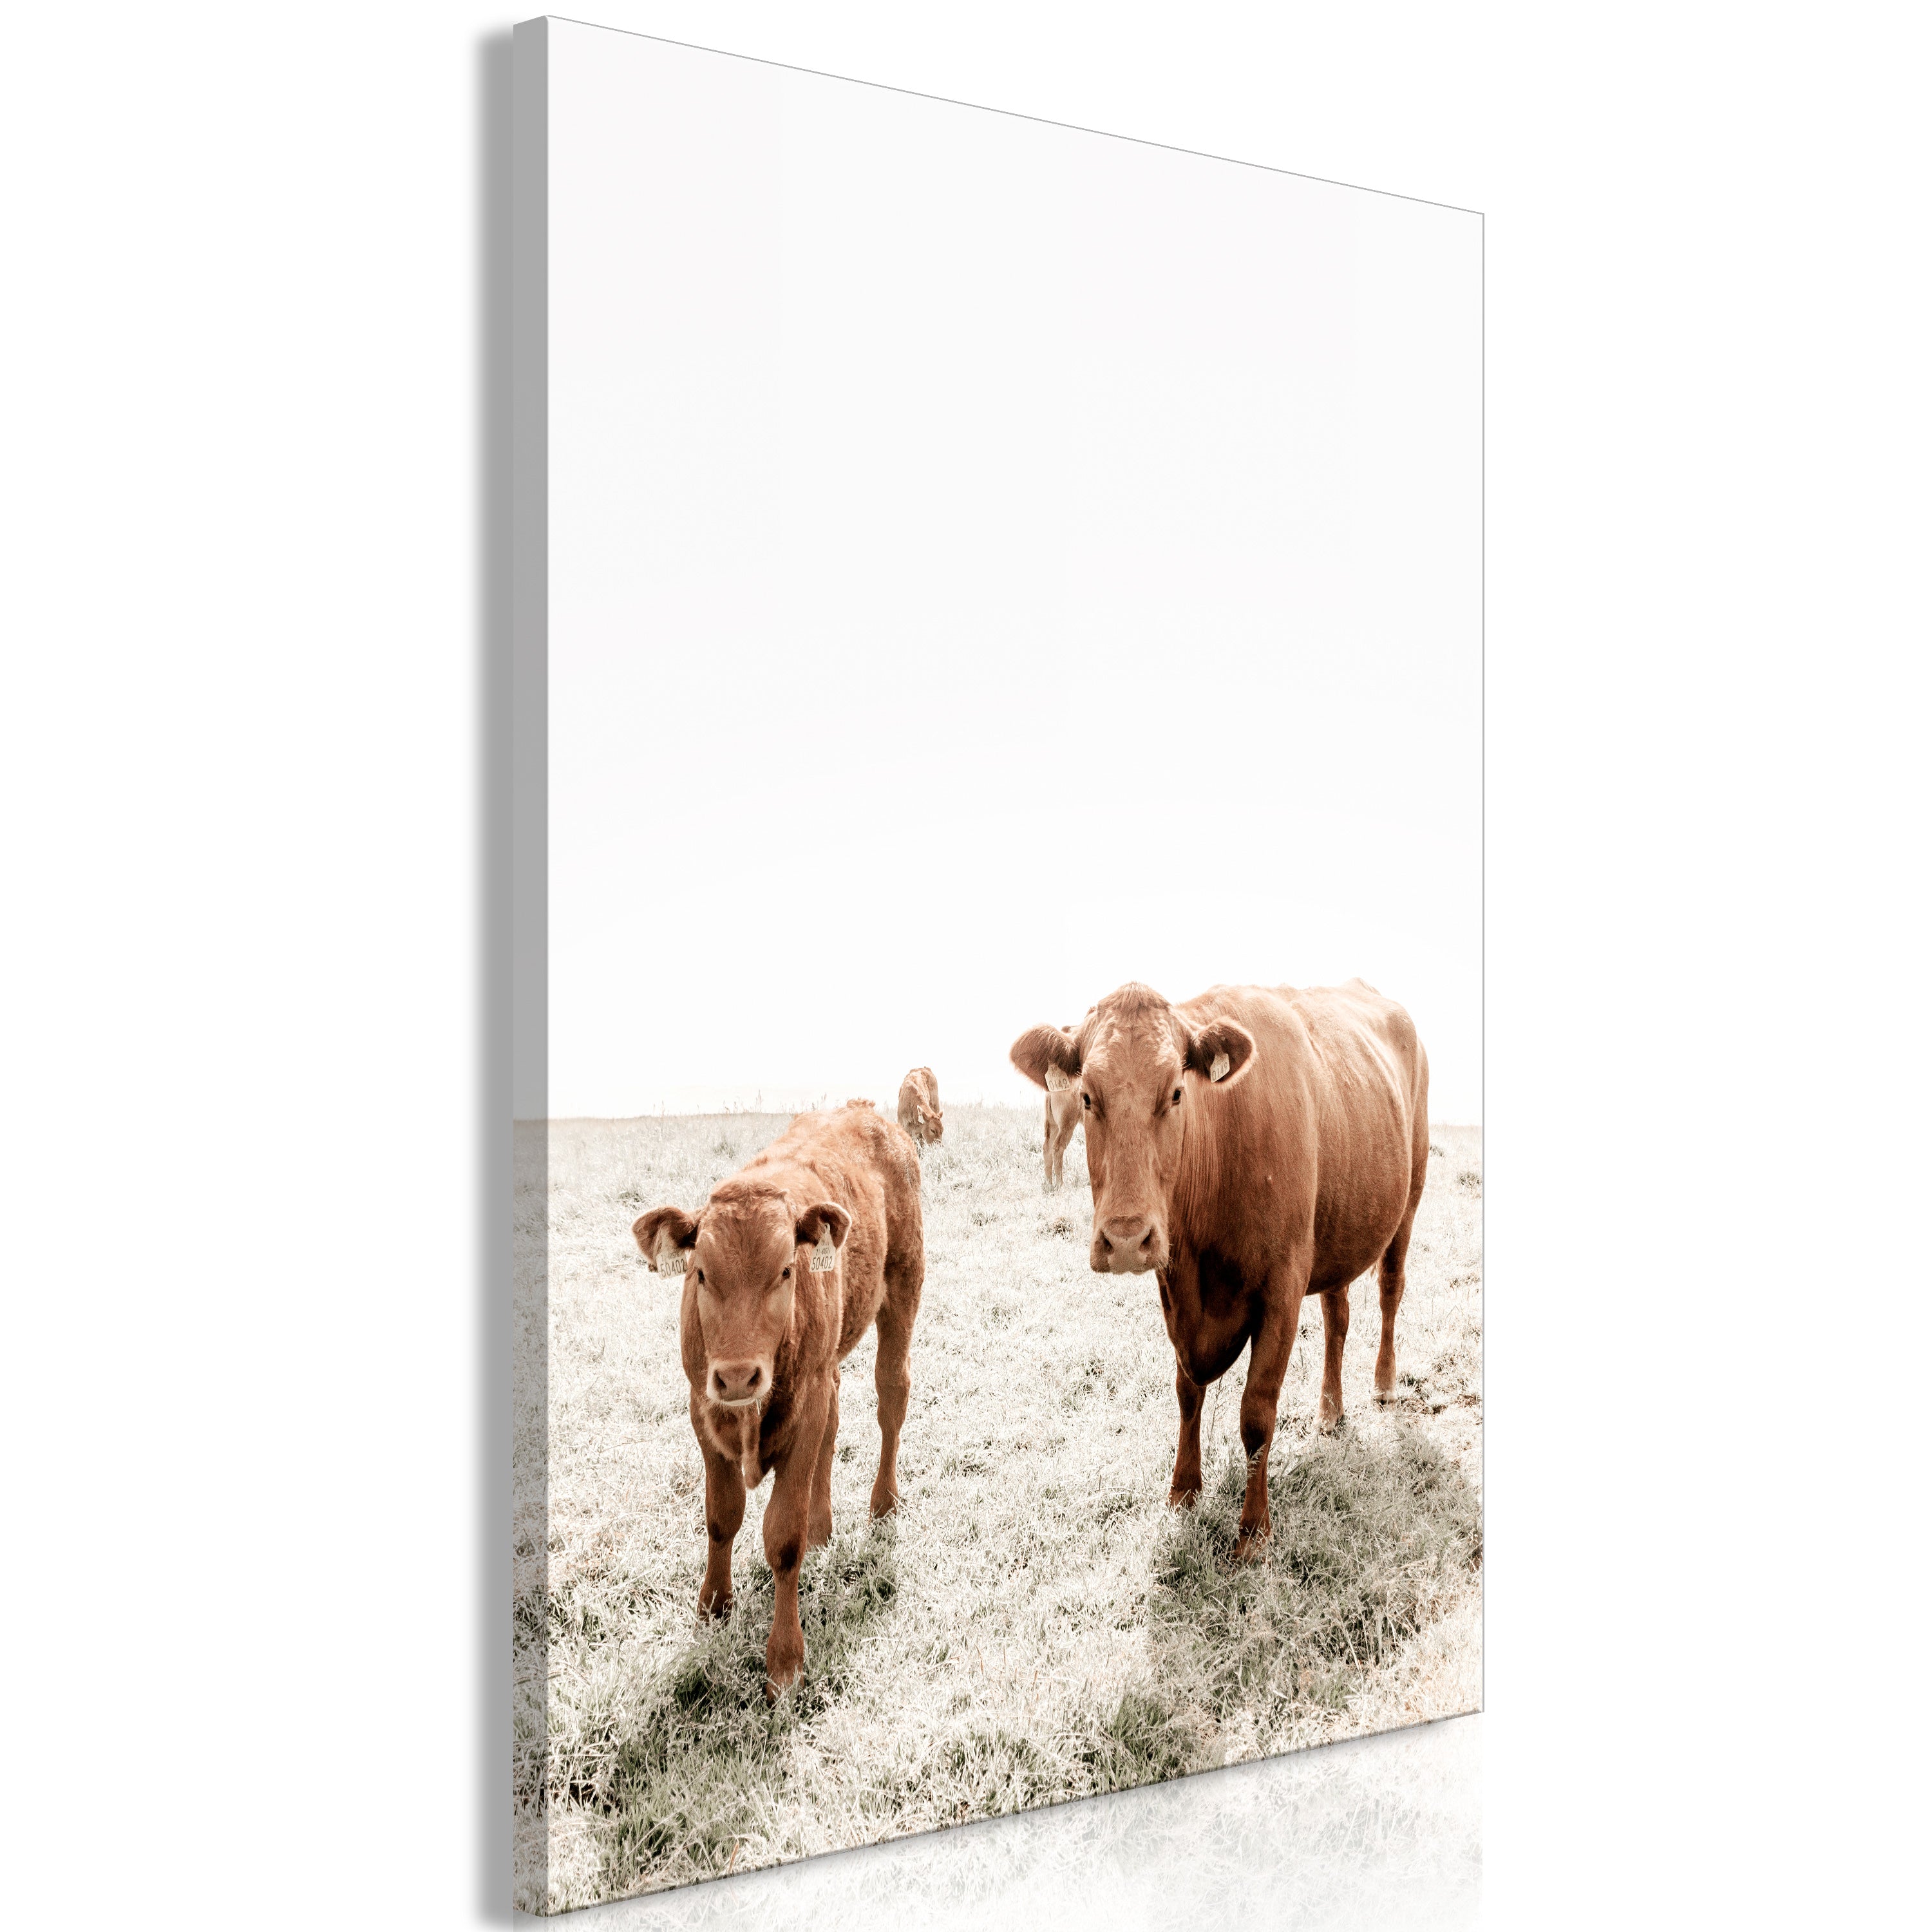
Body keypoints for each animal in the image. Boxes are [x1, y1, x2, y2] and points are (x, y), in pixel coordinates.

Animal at [631, 1100, 925, 1693]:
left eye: (786, 1271)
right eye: (701, 1274)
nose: (738, 1377)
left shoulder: (802, 1405)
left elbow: (783, 1538)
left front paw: (785, 1662)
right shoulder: (703, 1407)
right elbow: (722, 1516)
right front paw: (713, 1607)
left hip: (905, 1286)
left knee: (892, 1398)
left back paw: (883, 1504)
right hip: (828, 1363)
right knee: (835, 1423)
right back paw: (823, 1526)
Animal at [1009, 981, 1428, 1563]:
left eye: (1176, 1093)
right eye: (1088, 1097)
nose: (1126, 1240)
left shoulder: (1281, 1291)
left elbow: (1256, 1414)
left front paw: (1253, 1532)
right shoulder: (1178, 1295)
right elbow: (1188, 1393)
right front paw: (1184, 1491)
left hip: (1408, 1200)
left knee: (1390, 1291)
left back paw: (1384, 1385)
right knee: (1337, 1318)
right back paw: (1329, 1411)